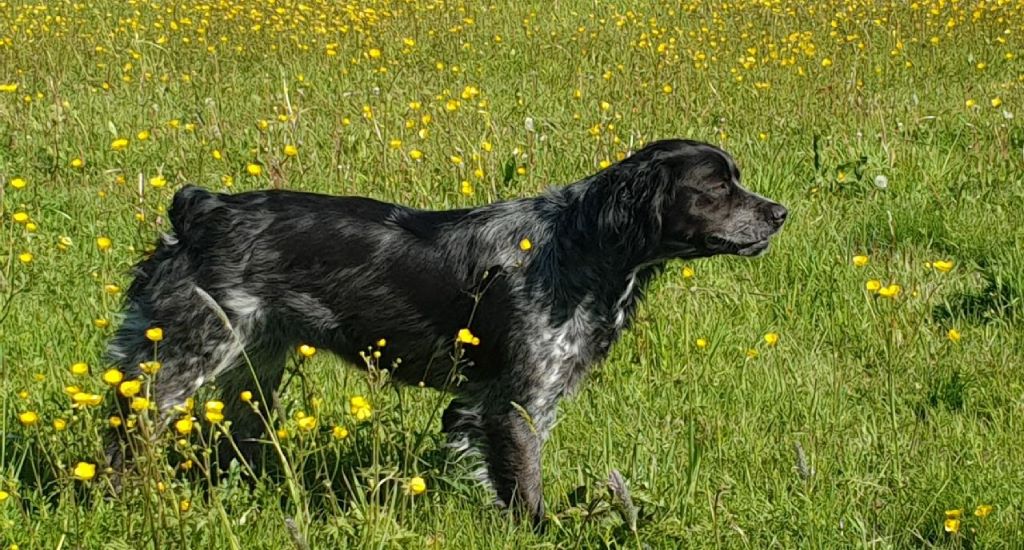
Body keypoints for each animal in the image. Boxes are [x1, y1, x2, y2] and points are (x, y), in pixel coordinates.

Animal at [108, 138, 786, 522]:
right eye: (716, 186)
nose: (781, 212)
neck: (580, 247)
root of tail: (202, 207)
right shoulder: (514, 403)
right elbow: (527, 494)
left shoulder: (497, 403)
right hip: (182, 354)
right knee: (126, 435)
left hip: (254, 370)